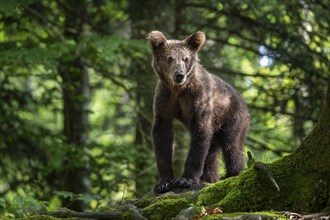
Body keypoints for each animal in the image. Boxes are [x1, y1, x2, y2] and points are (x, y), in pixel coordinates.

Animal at [148, 30, 250, 192]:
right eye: (169, 58)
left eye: (185, 58)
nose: (179, 75)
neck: (179, 89)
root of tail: (242, 100)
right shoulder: (165, 98)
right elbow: (162, 134)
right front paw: (163, 182)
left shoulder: (198, 98)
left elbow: (200, 134)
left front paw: (184, 179)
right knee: (212, 153)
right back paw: (210, 178)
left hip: (232, 116)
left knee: (231, 145)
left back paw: (233, 173)